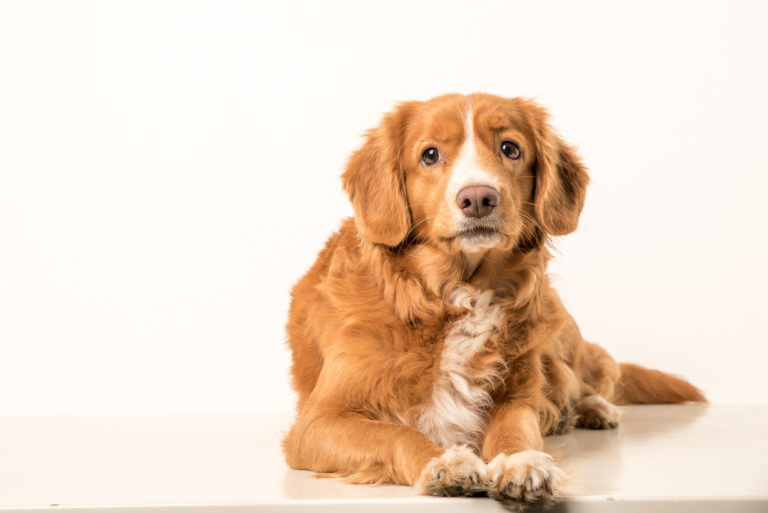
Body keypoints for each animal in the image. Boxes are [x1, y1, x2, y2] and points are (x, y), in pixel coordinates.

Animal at [280, 93, 704, 508]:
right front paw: (442, 462)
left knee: (592, 376)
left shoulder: (517, 396)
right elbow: (394, 434)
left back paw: (591, 408)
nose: (479, 198)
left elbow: (515, 429)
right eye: (429, 155)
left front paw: (523, 463)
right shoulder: (318, 422)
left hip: (560, 331)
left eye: (510, 148)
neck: (458, 294)